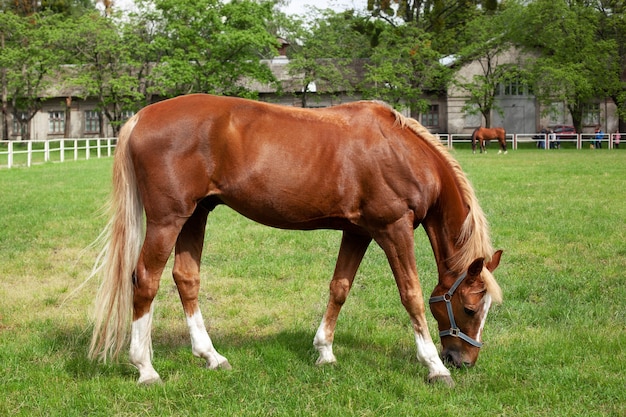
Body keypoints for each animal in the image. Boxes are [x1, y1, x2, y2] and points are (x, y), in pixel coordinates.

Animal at [89, 93, 502, 386]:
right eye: (470, 309)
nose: (464, 361)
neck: (401, 152)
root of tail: (142, 116)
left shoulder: (358, 232)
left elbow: (340, 287)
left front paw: (325, 351)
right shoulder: (393, 229)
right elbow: (411, 294)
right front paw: (433, 366)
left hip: (195, 215)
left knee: (186, 279)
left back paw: (212, 357)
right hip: (168, 219)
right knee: (145, 280)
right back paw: (145, 368)